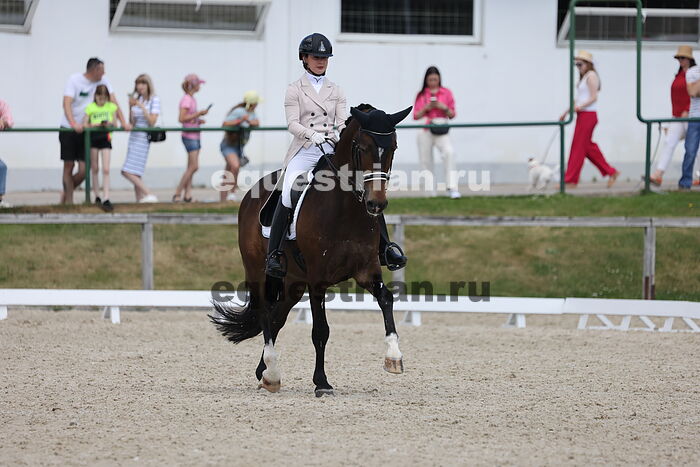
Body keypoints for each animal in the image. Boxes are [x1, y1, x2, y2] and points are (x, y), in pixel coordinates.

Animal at [210, 104, 412, 397]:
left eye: (393, 147)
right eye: (362, 148)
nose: (376, 204)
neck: (345, 210)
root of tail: (251, 193)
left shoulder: (367, 270)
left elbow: (386, 299)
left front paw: (394, 357)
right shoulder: (318, 280)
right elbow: (320, 331)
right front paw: (322, 382)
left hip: (293, 281)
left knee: (277, 316)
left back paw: (264, 372)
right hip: (258, 271)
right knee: (265, 313)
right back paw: (272, 373)